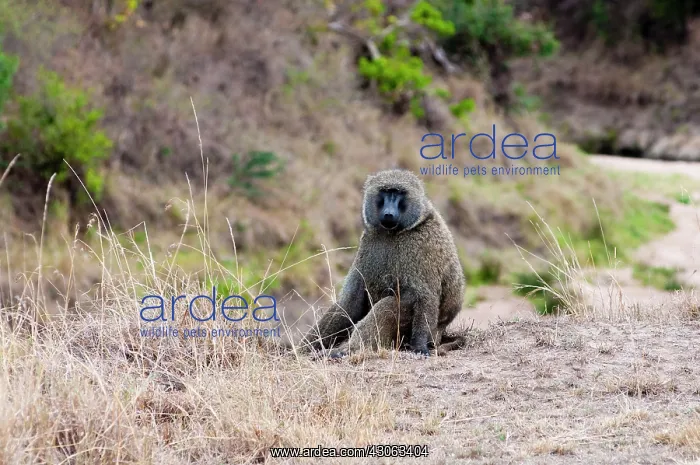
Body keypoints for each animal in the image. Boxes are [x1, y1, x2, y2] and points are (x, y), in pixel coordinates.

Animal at [301, 169, 466, 357]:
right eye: (385, 192)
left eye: (398, 193)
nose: (388, 213)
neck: (394, 232)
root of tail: (439, 334)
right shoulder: (369, 241)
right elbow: (350, 302)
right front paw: (302, 347)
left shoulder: (422, 246)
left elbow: (426, 296)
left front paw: (420, 346)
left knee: (395, 302)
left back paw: (346, 350)